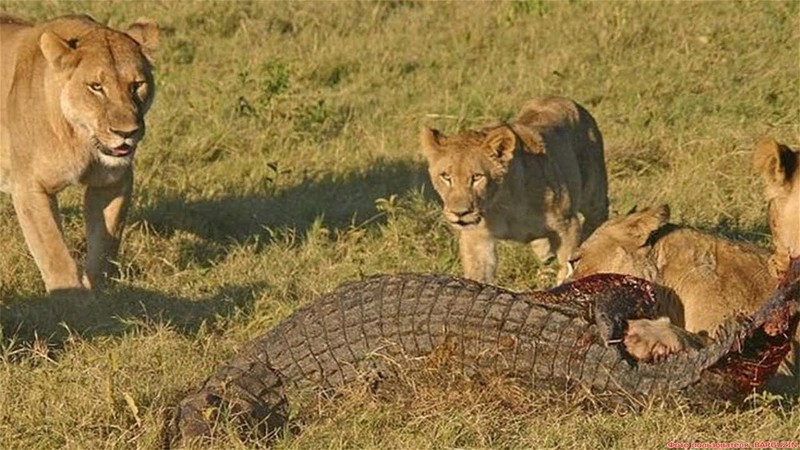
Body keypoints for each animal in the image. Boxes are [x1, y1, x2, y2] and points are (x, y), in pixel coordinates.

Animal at [0, 14, 159, 294]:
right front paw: (71, 300)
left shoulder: (113, 182)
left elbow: (104, 245)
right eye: (96, 87)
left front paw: (97, 294)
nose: (126, 132)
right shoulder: (30, 187)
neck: (80, 139)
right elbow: (54, 254)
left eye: (136, 85)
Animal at [418, 96, 608, 284]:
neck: (501, 205)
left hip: (593, 192)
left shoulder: (567, 224)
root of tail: (564, 99)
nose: (460, 213)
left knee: (598, 215)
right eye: (446, 177)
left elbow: (566, 265)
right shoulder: (477, 239)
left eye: (477, 177)